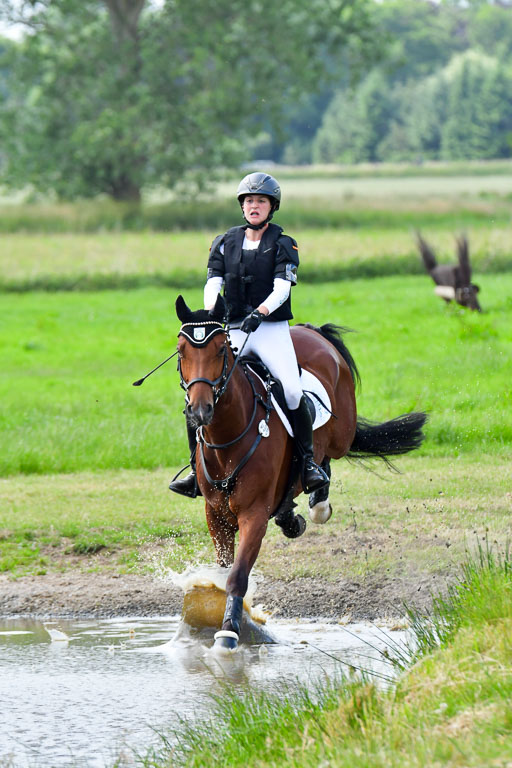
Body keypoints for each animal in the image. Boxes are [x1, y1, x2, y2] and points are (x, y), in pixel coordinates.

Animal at [175, 293, 427, 651]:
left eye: (221, 350)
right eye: (182, 350)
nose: (199, 410)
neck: (228, 437)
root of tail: (311, 330)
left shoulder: (253, 514)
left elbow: (238, 575)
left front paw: (228, 633)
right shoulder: (216, 515)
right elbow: (224, 572)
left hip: (341, 433)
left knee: (324, 450)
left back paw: (316, 494)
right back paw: (291, 514)